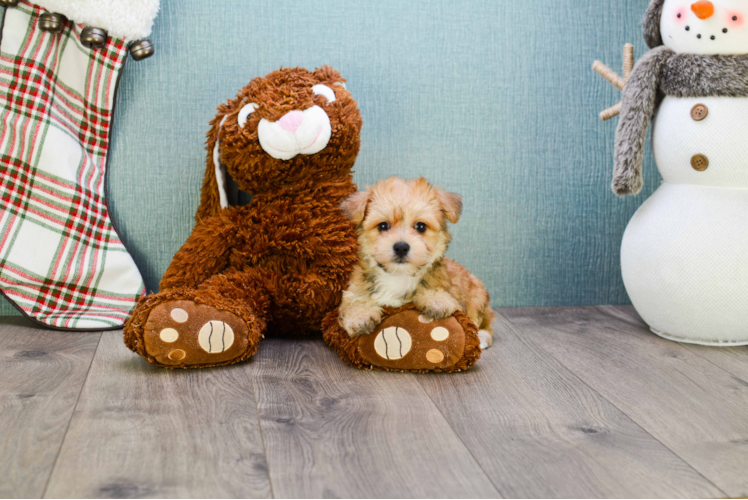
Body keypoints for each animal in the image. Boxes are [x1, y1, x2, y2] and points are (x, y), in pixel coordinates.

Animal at [340, 178, 496, 350]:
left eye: (421, 226)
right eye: (383, 226)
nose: (401, 247)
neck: (398, 276)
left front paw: (437, 300)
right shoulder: (353, 290)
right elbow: (354, 302)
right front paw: (359, 315)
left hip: (477, 297)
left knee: (483, 324)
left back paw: (481, 337)